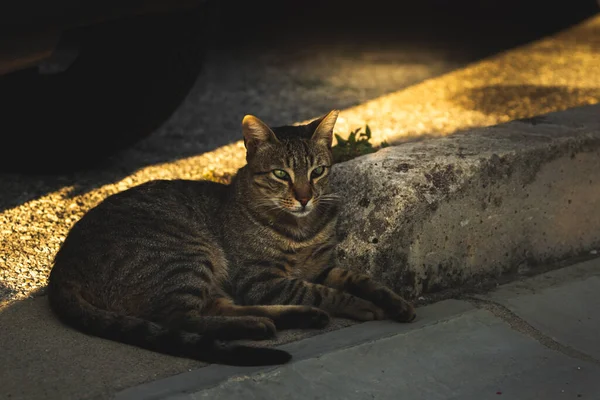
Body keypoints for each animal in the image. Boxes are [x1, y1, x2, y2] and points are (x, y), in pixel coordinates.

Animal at [47, 109, 414, 366]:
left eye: (318, 171)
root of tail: (61, 266)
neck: (302, 230)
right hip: (186, 255)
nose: (305, 197)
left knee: (217, 308)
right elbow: (327, 293)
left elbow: (358, 278)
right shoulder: (262, 280)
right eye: (281, 174)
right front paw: (362, 306)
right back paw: (263, 325)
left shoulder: (319, 267)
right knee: (180, 319)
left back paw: (288, 318)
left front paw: (393, 301)